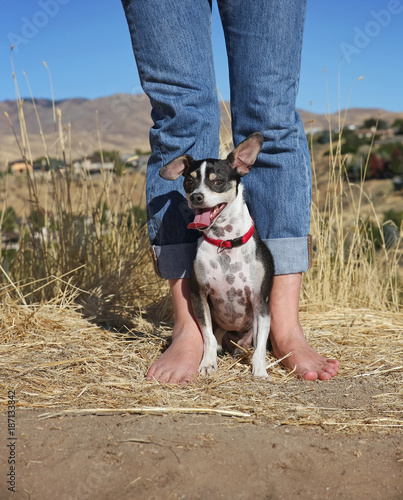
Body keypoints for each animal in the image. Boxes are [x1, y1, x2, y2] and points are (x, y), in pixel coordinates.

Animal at [159, 133, 276, 378]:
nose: (196, 197)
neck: (225, 242)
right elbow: (209, 337)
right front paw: (207, 362)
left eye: (218, 181)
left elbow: (260, 345)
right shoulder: (199, 296)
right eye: (188, 182)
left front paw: (260, 370)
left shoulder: (260, 302)